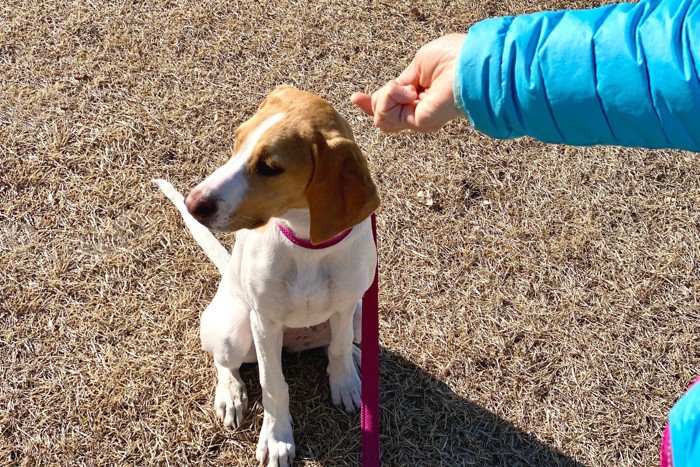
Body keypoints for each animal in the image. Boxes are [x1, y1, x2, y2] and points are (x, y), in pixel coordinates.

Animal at [154, 86, 378, 466]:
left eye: (270, 168)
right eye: (237, 139)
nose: (193, 203)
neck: (305, 243)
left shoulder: (347, 305)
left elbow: (338, 347)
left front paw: (345, 380)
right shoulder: (265, 321)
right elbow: (273, 384)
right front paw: (277, 438)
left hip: (362, 315)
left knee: (340, 341)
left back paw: (356, 359)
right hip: (234, 329)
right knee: (225, 364)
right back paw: (231, 394)